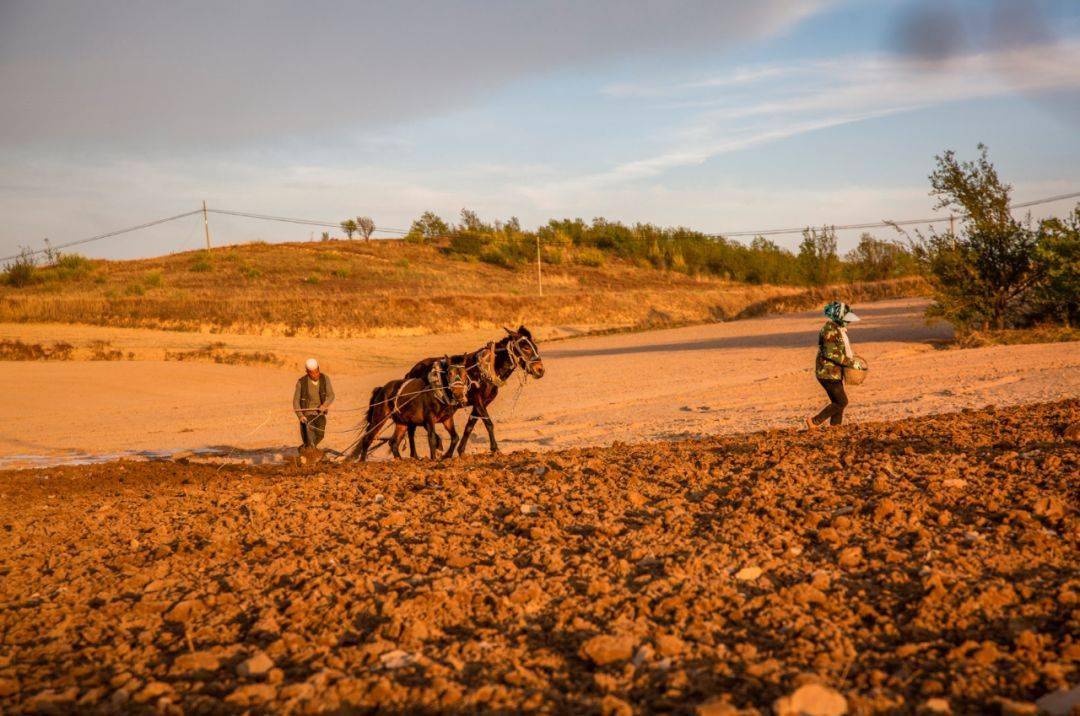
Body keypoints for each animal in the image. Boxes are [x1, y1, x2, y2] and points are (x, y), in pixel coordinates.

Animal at [401, 323, 544, 453]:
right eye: (526, 348)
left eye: (535, 347)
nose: (540, 370)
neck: (487, 369)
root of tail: (411, 372)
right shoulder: (478, 401)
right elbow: (488, 423)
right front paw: (495, 449)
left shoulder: (482, 403)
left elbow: (469, 426)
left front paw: (461, 450)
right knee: (412, 429)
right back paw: (424, 450)